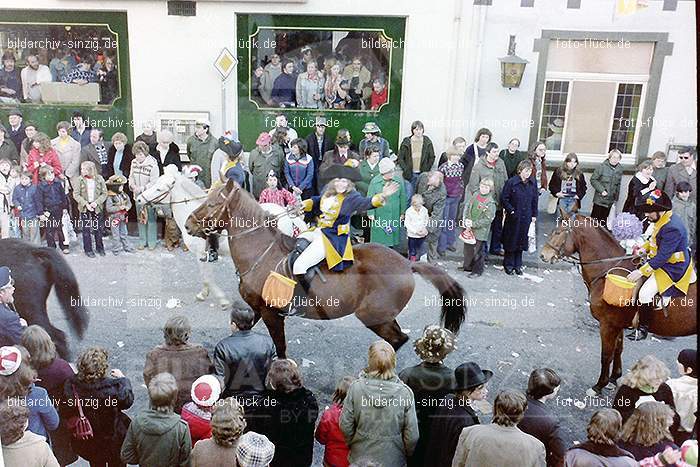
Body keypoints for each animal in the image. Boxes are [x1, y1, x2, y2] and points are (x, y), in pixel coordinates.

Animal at [135, 166, 304, 308]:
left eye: (158, 188)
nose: (139, 199)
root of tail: (287, 215)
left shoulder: (202, 254)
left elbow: (208, 278)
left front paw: (220, 299)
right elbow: (206, 278)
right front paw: (204, 294)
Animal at [186, 180, 468, 358]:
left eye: (212, 204)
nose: (188, 225)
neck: (260, 251)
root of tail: (407, 263)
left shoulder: (271, 314)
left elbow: (281, 348)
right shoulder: (256, 308)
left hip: (373, 316)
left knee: (399, 340)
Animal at [540, 215, 696, 394]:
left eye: (558, 232)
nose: (543, 255)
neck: (609, 269)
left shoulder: (607, 325)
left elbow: (606, 355)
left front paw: (599, 385)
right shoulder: (618, 325)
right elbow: (618, 350)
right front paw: (614, 378)